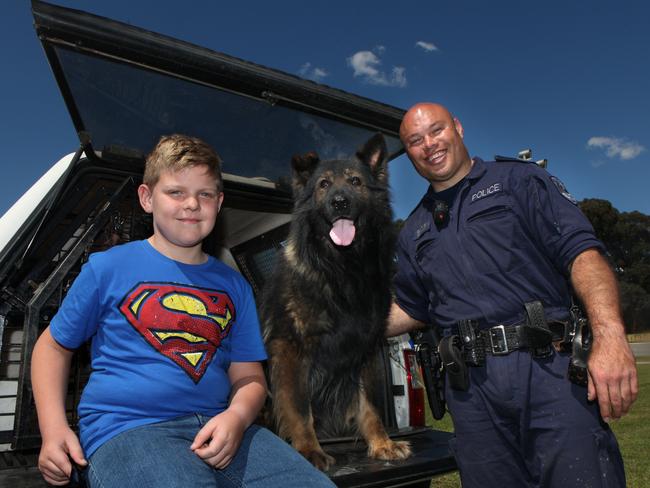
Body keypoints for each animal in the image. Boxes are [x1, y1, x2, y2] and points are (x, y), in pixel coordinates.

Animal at [260, 135, 408, 470]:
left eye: (355, 181)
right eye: (324, 184)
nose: (340, 202)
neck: (341, 267)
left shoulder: (364, 350)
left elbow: (370, 406)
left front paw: (382, 443)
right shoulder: (290, 348)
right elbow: (300, 407)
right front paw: (308, 450)